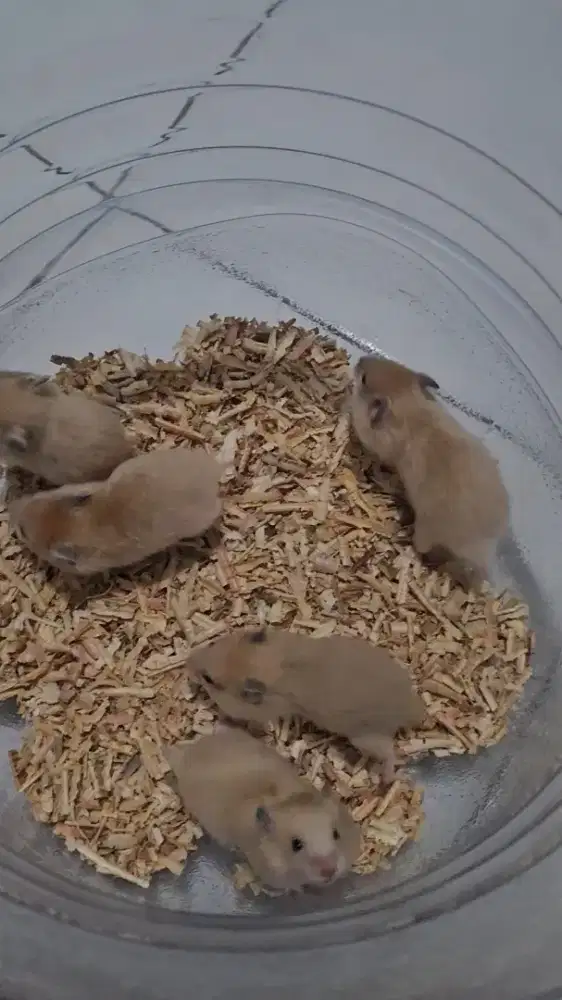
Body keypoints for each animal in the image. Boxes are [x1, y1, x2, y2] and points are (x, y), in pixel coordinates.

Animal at [187, 628, 427, 784]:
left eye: (208, 679)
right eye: (212, 644)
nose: (187, 662)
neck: (271, 665)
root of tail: (412, 709)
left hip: (365, 738)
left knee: (388, 757)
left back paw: (402, 776)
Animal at [350, 355, 509, 589]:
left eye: (364, 379)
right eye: (396, 364)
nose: (360, 359)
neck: (409, 402)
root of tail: (482, 551)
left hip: (426, 530)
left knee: (422, 549)